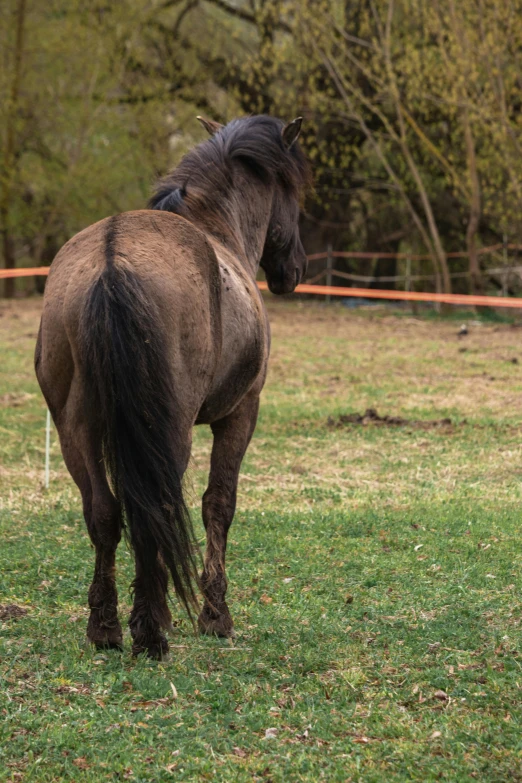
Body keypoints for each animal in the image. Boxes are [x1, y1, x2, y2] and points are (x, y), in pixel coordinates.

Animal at [35, 113, 308, 660]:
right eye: (293, 190)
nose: (294, 269)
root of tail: (111, 257)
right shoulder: (241, 413)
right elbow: (218, 504)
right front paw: (216, 615)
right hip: (169, 431)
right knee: (154, 507)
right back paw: (150, 628)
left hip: (76, 431)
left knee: (104, 513)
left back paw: (106, 627)